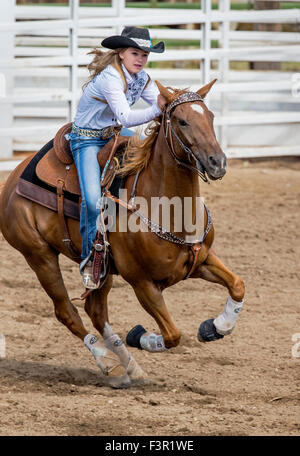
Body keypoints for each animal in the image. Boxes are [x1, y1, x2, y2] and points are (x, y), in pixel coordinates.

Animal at [0, 81, 244, 388]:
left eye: (210, 117)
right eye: (182, 120)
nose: (217, 162)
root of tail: (12, 179)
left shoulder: (201, 260)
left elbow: (237, 285)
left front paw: (215, 327)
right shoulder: (142, 283)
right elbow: (172, 336)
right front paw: (140, 336)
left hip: (102, 269)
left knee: (95, 311)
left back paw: (131, 368)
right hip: (39, 256)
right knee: (67, 311)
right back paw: (110, 366)